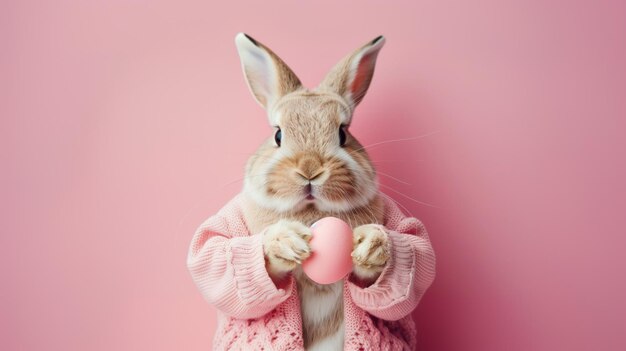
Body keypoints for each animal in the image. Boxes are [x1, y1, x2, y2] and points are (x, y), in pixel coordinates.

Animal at [234, 32, 388, 350]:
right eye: (278, 135)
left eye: (343, 133)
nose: (309, 168)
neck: (312, 212)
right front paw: (286, 242)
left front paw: (370, 246)